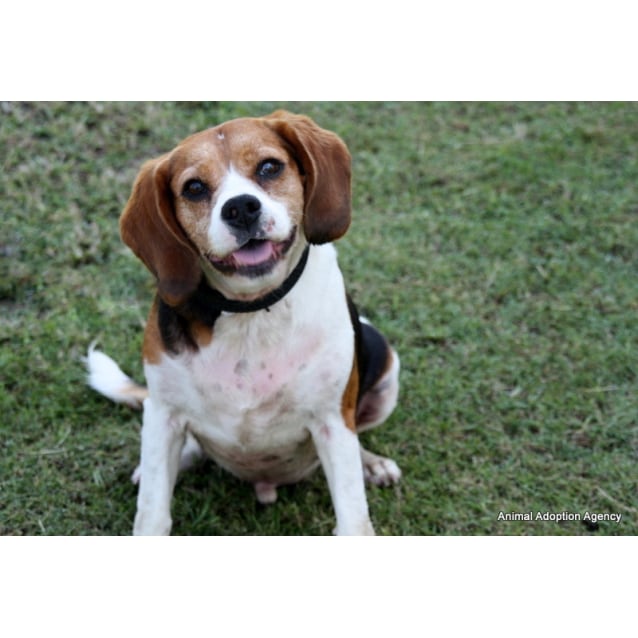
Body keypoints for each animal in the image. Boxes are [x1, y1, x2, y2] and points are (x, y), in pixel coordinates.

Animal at [87, 110, 401, 535]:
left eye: (269, 167)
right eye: (194, 188)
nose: (240, 208)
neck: (251, 312)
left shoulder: (333, 422)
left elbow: (353, 517)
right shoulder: (164, 413)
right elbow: (152, 513)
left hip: (384, 363)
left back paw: (372, 463)